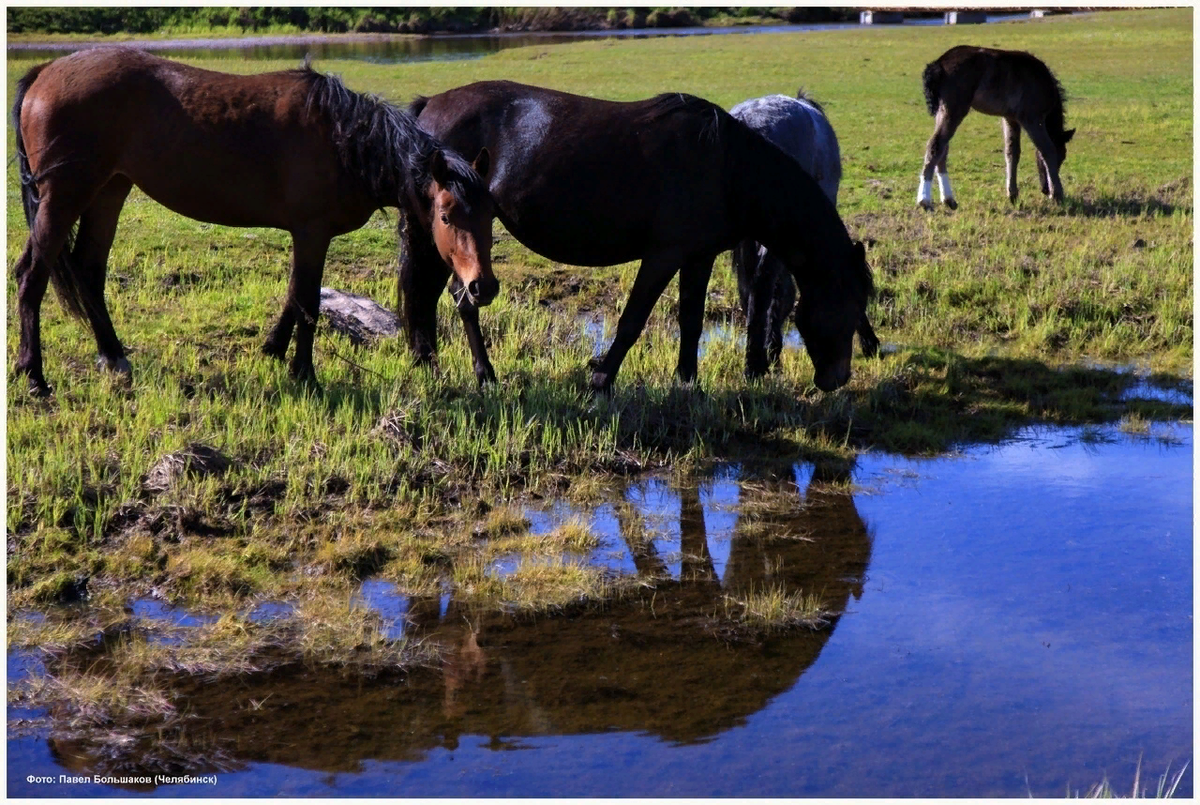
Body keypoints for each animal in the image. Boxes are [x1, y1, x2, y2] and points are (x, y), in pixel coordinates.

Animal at [11, 47, 494, 395]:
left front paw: (274, 352)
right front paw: (304, 373)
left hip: (108, 191)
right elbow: (307, 301)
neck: (346, 141)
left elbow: (295, 297)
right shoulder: (312, 232)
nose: (483, 288)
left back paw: (112, 356)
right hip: (64, 196)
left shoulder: (307, 235)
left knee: (88, 272)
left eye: (491, 215)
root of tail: (46, 71)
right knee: (33, 276)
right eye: (447, 215)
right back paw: (34, 376)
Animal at [916, 45, 1080, 209]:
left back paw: (949, 200)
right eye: (1061, 157)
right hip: (954, 110)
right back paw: (924, 201)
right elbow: (1047, 150)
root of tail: (938, 64)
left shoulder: (1010, 119)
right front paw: (1057, 195)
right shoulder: (1032, 119)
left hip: (943, 112)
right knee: (936, 145)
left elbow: (1012, 152)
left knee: (942, 149)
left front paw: (1013, 195)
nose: (1045, 189)